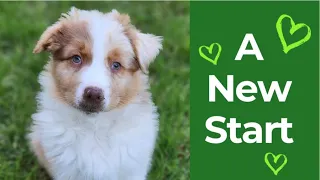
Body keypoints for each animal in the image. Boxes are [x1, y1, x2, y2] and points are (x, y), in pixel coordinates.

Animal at [27, 7, 162, 180]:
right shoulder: (66, 171)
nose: (93, 94)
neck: (94, 127)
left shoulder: (132, 170)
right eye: (76, 58)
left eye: (116, 65)